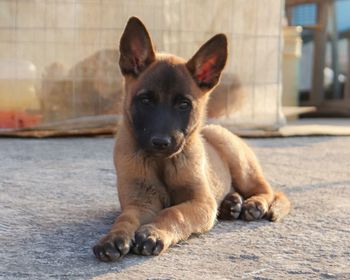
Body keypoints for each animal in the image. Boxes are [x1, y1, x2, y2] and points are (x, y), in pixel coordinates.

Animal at [92, 16, 290, 262]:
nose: (161, 142)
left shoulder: (200, 203)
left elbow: (174, 212)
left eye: (184, 104)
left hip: (238, 160)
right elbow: (125, 218)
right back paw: (231, 204)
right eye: (145, 100)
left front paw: (155, 232)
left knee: (267, 189)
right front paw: (114, 237)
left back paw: (254, 204)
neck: (162, 163)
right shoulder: (141, 202)